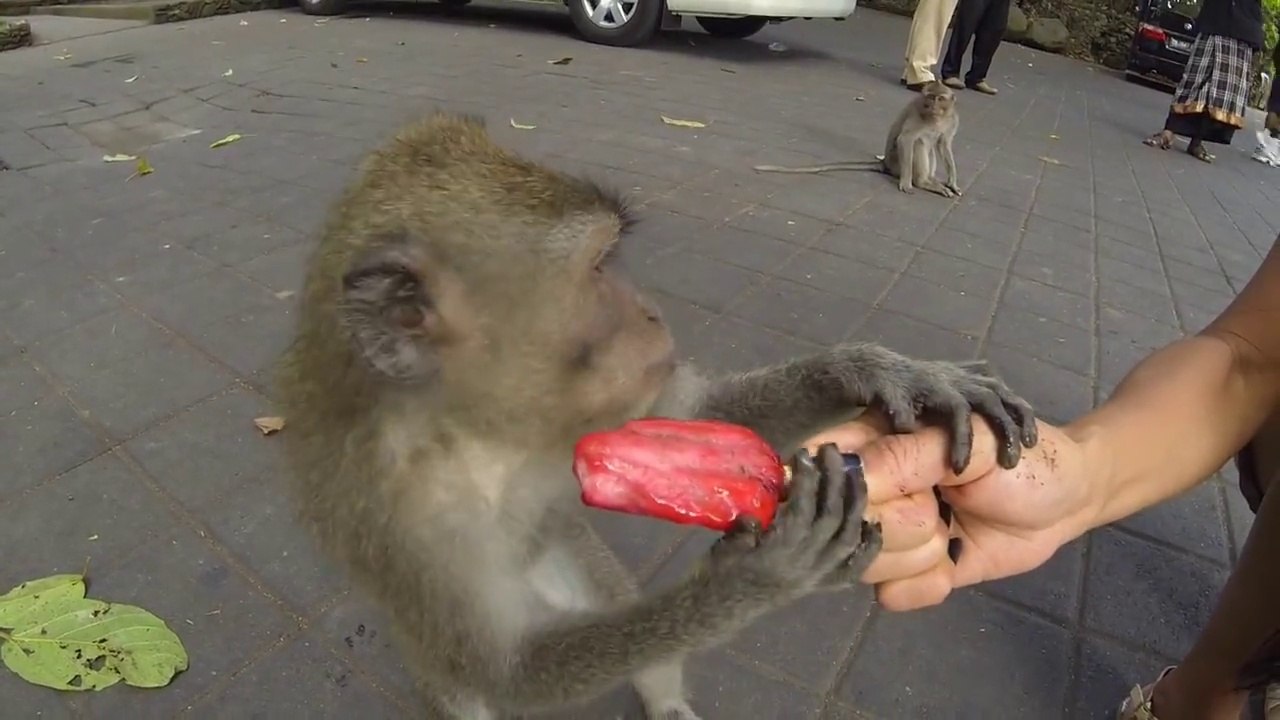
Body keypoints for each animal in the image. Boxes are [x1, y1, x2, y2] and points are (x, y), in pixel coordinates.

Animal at [274, 112, 1038, 720]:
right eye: (596, 268)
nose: (650, 312)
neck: (471, 429)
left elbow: (687, 417)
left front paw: (886, 371)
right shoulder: (408, 524)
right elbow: (510, 671)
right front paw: (758, 579)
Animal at [753, 81, 963, 198]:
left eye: (940, 98)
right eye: (930, 97)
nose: (931, 105)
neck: (937, 118)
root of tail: (885, 163)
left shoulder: (953, 120)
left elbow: (944, 145)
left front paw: (953, 182)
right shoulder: (918, 113)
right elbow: (906, 139)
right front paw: (906, 182)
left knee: (930, 146)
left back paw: (932, 180)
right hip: (897, 162)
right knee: (919, 143)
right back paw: (923, 182)